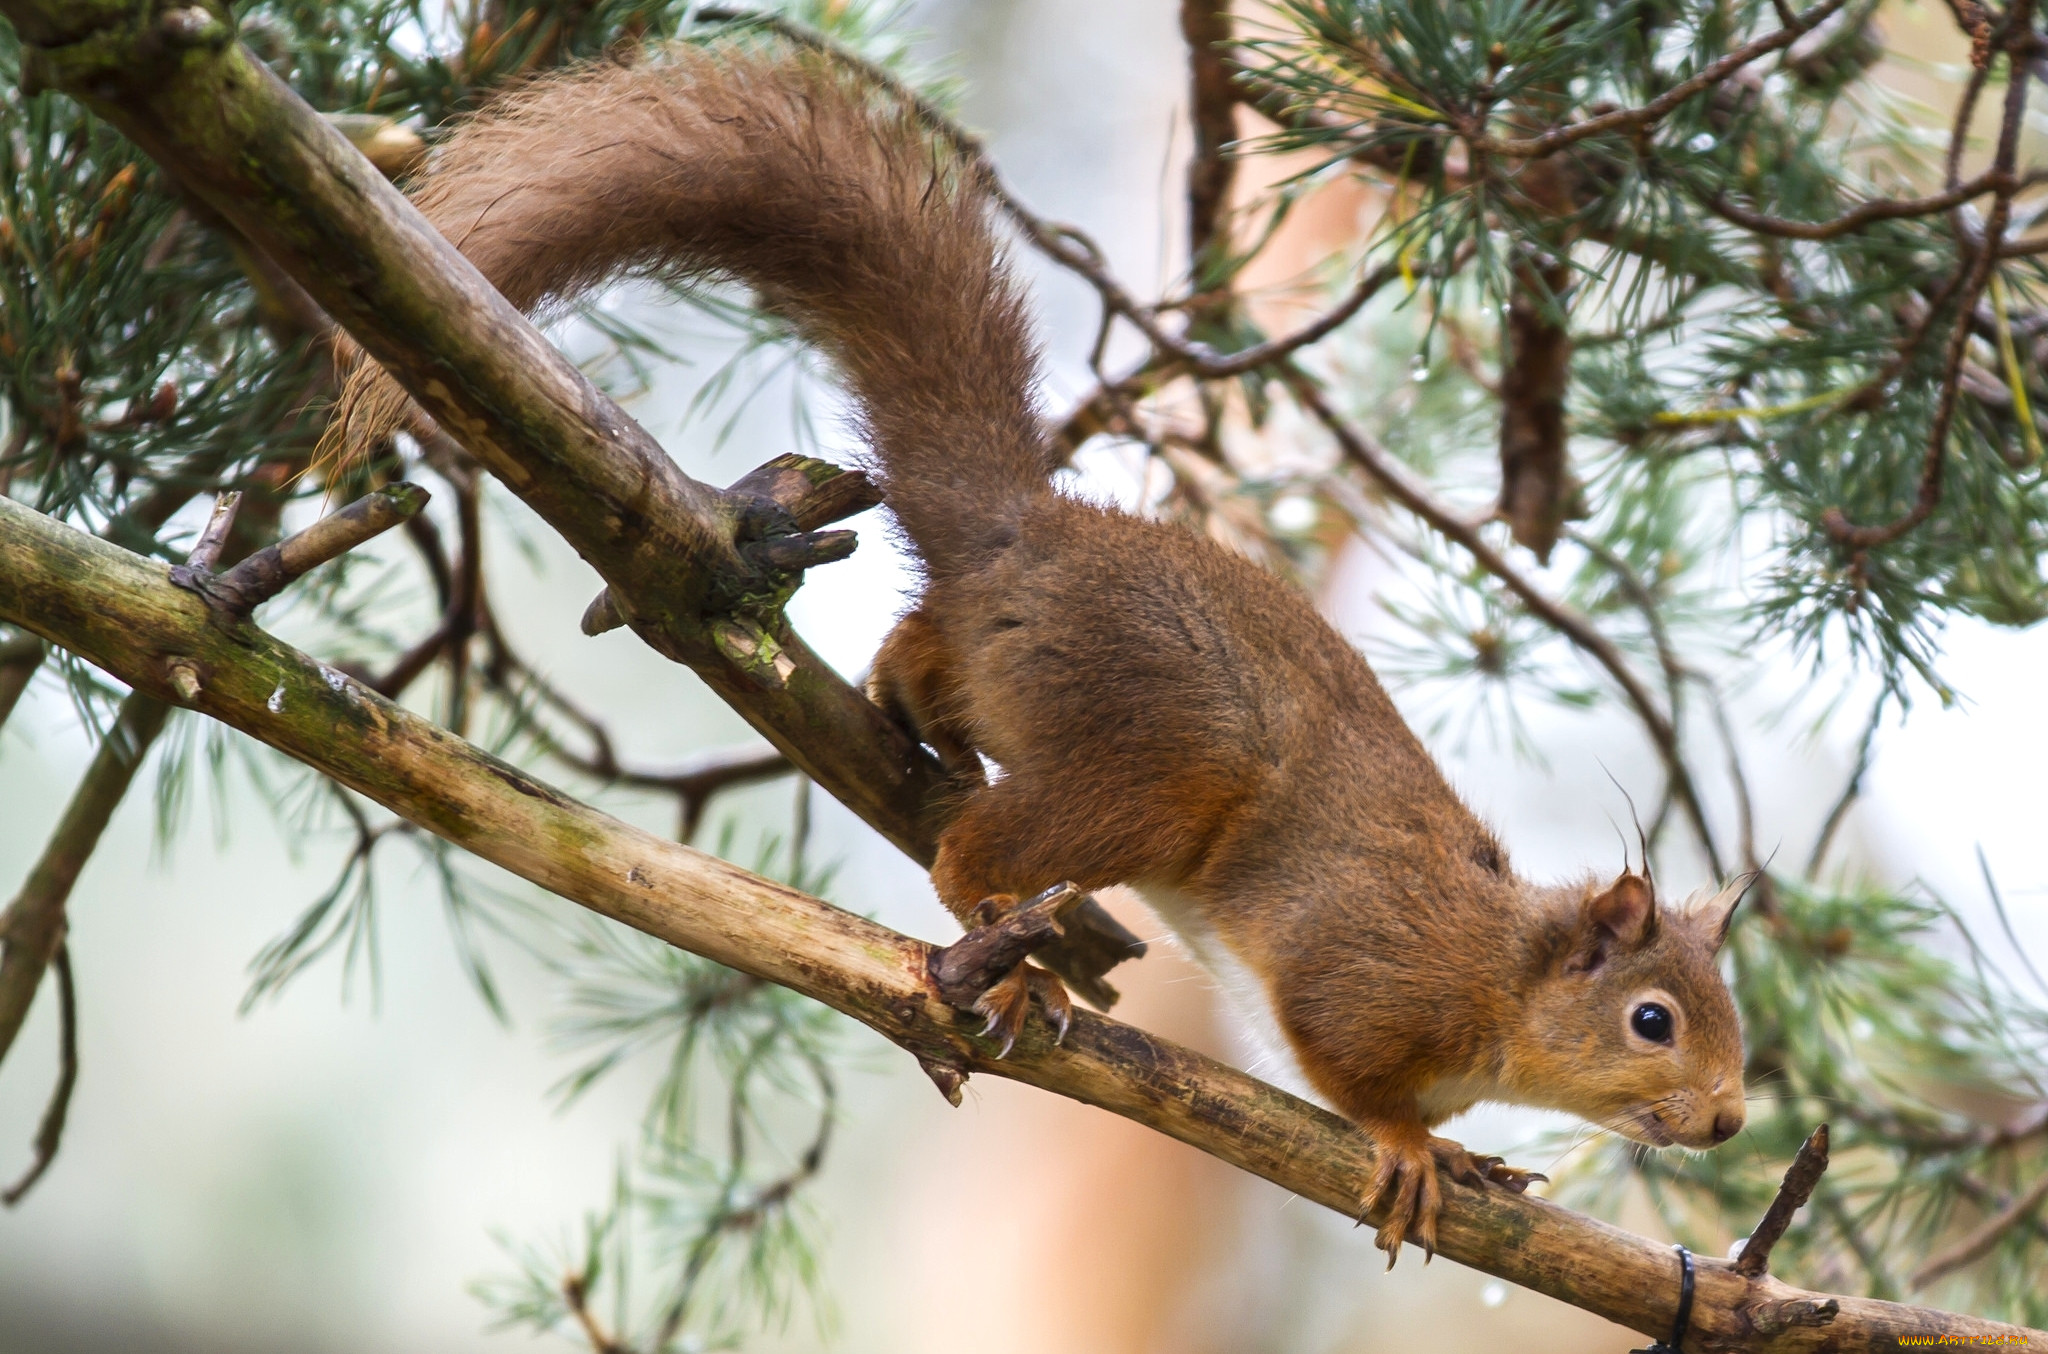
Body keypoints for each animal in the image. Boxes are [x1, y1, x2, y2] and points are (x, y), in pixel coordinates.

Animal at [335, 44, 1744, 1270]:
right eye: (1653, 1019)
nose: (1732, 1117)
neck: (1496, 973)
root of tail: (1026, 531)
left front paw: (1477, 1157)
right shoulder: (1364, 973)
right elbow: (1342, 1063)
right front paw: (1411, 1145)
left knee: (919, 653)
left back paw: (918, 721)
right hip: (1163, 769)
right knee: (974, 849)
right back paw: (1002, 951)